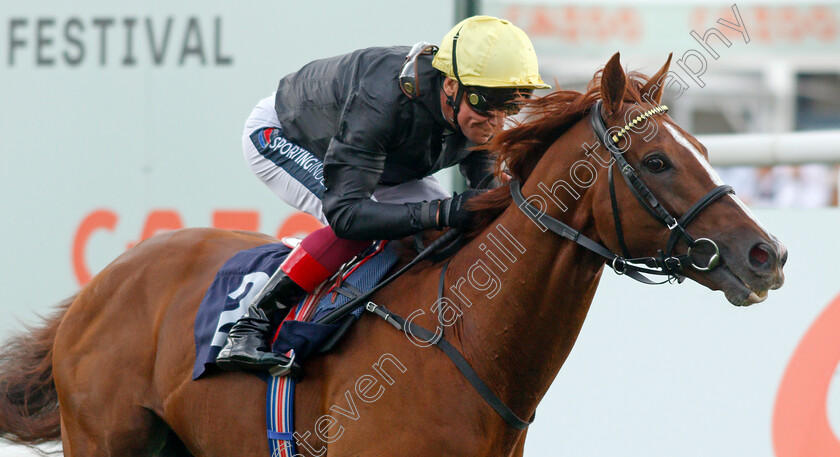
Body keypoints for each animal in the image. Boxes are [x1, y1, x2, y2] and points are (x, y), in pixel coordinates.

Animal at [1, 54, 788, 456]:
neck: (466, 339)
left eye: (705, 146)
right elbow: (350, 212)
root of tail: (106, 279)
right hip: (106, 439)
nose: (767, 253)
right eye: (656, 161)